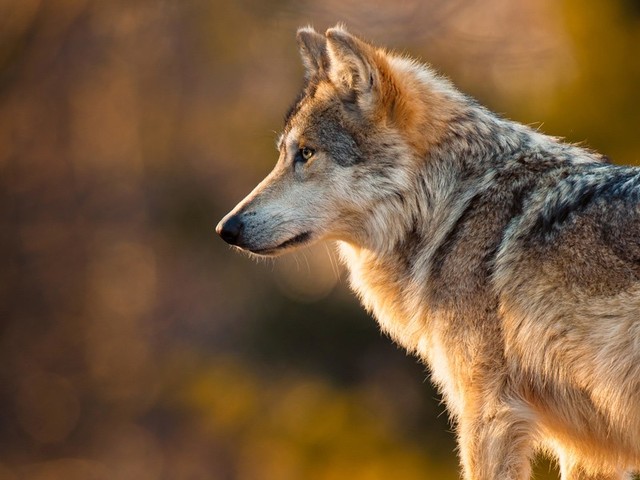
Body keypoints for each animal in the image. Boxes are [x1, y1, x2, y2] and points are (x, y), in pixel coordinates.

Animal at [216, 25, 640, 480]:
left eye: (306, 153)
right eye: (283, 154)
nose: (226, 228)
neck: (452, 206)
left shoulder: (489, 414)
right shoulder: (588, 450)